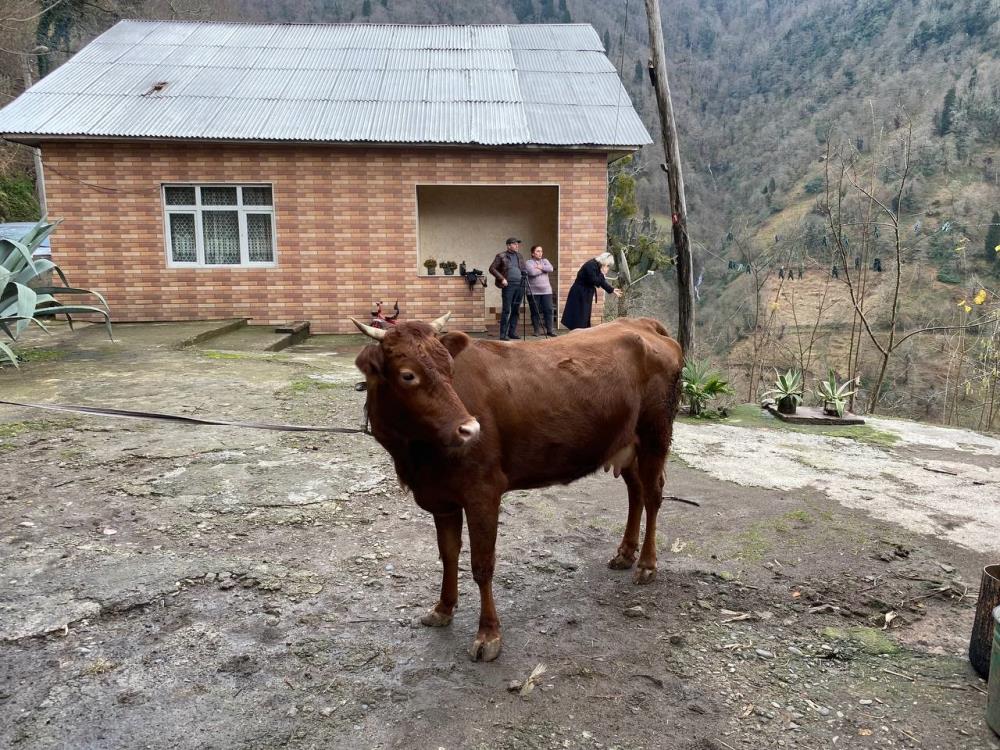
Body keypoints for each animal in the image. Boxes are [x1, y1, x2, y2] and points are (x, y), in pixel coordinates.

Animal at [348, 314, 684, 660]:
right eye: (407, 375)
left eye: (450, 370)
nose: (470, 429)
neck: (417, 459)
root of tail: (640, 323)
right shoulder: (442, 497)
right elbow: (448, 554)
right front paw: (443, 608)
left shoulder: (483, 491)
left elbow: (482, 564)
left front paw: (488, 634)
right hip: (626, 442)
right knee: (636, 493)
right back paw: (625, 554)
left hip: (656, 434)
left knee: (653, 495)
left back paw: (646, 565)